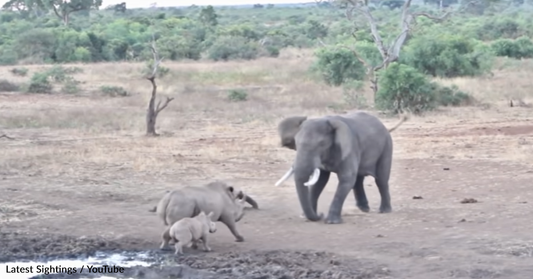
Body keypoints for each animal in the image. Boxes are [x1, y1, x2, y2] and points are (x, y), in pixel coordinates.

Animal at [274, 111, 408, 225]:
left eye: (321, 144)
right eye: (296, 144)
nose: (320, 215)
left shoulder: (350, 147)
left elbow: (346, 179)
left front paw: (331, 222)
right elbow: (320, 182)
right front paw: (307, 217)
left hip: (387, 146)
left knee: (381, 180)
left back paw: (384, 211)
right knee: (358, 180)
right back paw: (363, 208)